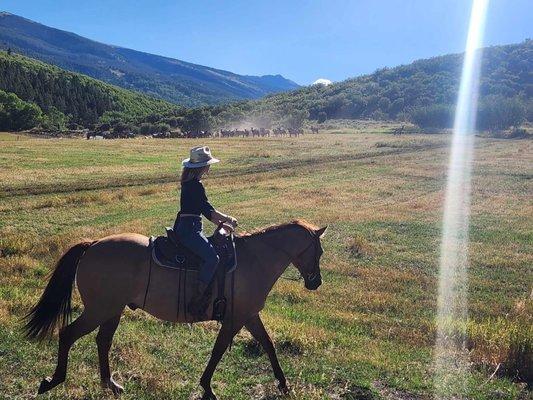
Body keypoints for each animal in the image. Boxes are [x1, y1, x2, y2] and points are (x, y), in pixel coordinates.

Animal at [25, 220, 326, 398]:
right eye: (319, 252)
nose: (316, 282)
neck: (255, 259)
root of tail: (93, 244)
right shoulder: (235, 319)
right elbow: (218, 351)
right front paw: (207, 387)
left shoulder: (249, 315)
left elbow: (268, 345)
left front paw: (284, 385)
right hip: (99, 309)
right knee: (68, 334)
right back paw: (54, 380)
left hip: (112, 310)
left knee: (102, 341)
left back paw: (110, 384)